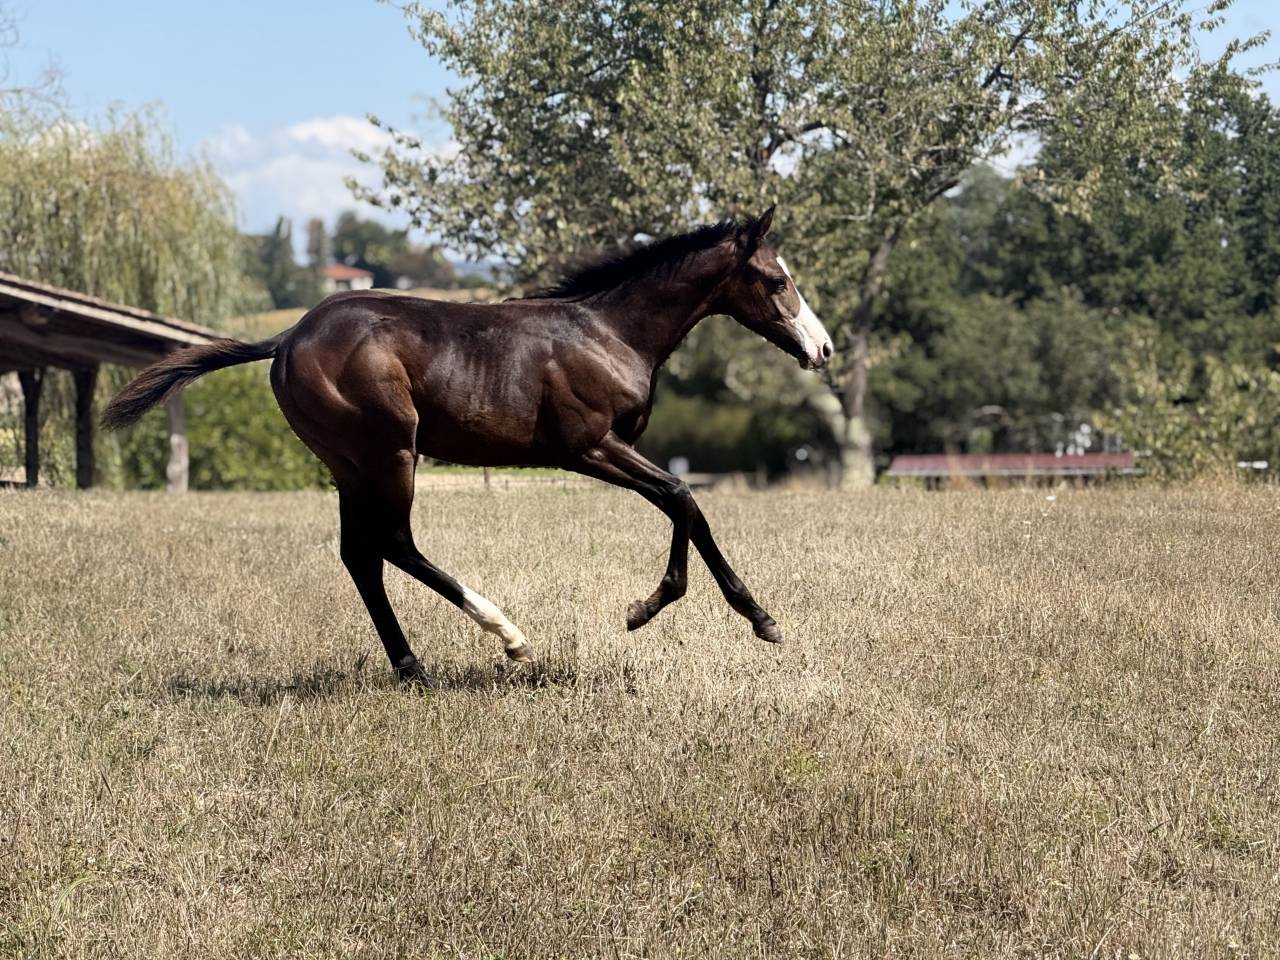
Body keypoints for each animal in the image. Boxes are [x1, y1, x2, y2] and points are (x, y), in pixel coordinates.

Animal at [102, 206, 834, 683]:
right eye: (777, 280)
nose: (822, 349)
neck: (607, 332)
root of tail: (286, 340)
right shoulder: (588, 447)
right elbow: (683, 496)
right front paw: (739, 615)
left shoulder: (611, 451)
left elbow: (682, 502)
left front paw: (668, 608)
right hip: (391, 453)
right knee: (394, 544)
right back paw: (508, 636)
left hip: (348, 465)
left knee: (360, 556)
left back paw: (412, 667)